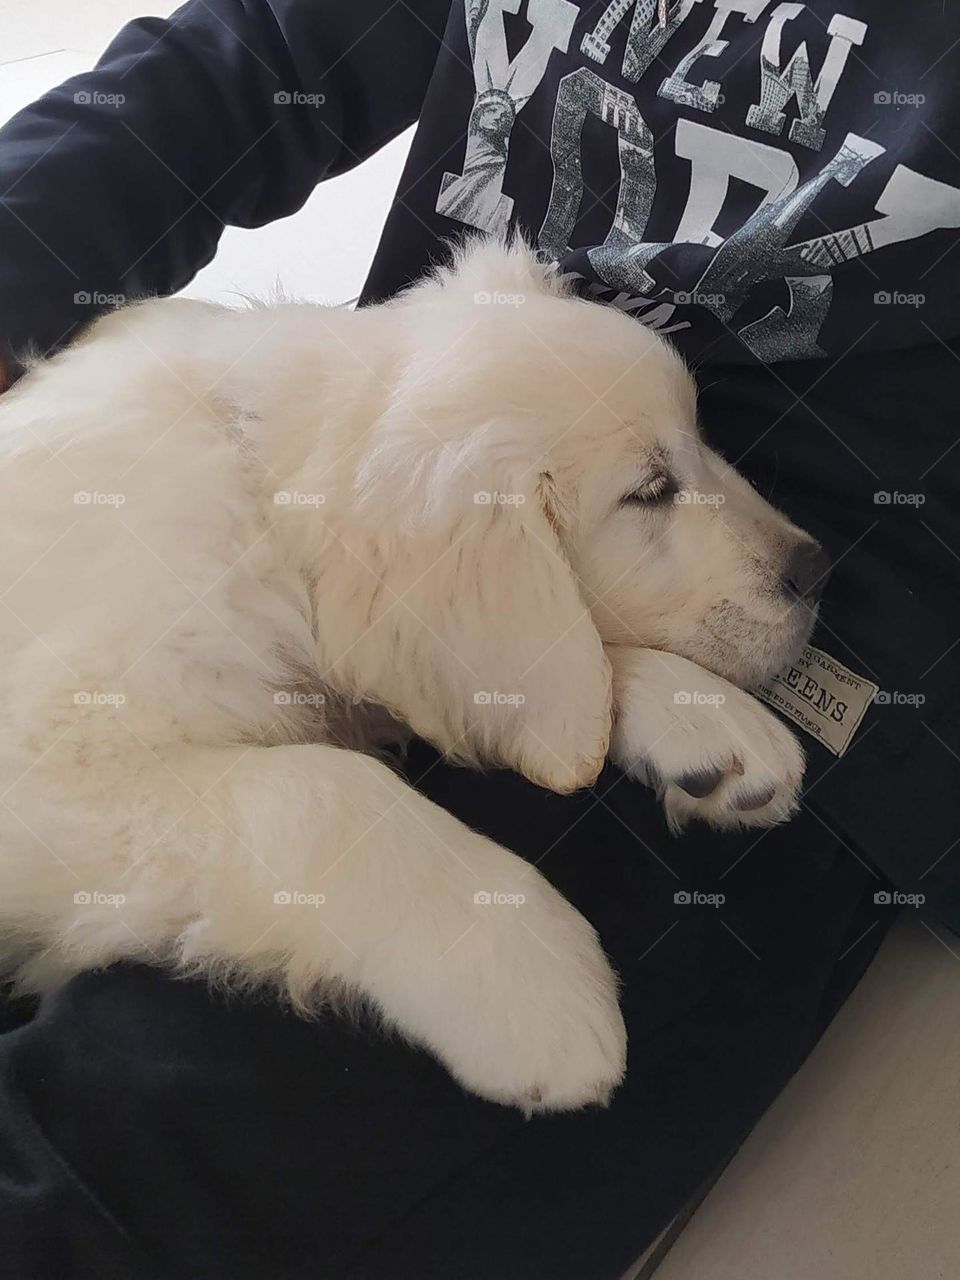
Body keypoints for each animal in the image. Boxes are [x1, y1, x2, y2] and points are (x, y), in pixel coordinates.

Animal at [0, 238, 829, 1111]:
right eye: (650, 492)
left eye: (698, 437)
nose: (819, 571)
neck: (258, 495)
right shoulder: (57, 760)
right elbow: (324, 790)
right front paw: (525, 975)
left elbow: (565, 664)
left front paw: (705, 722)